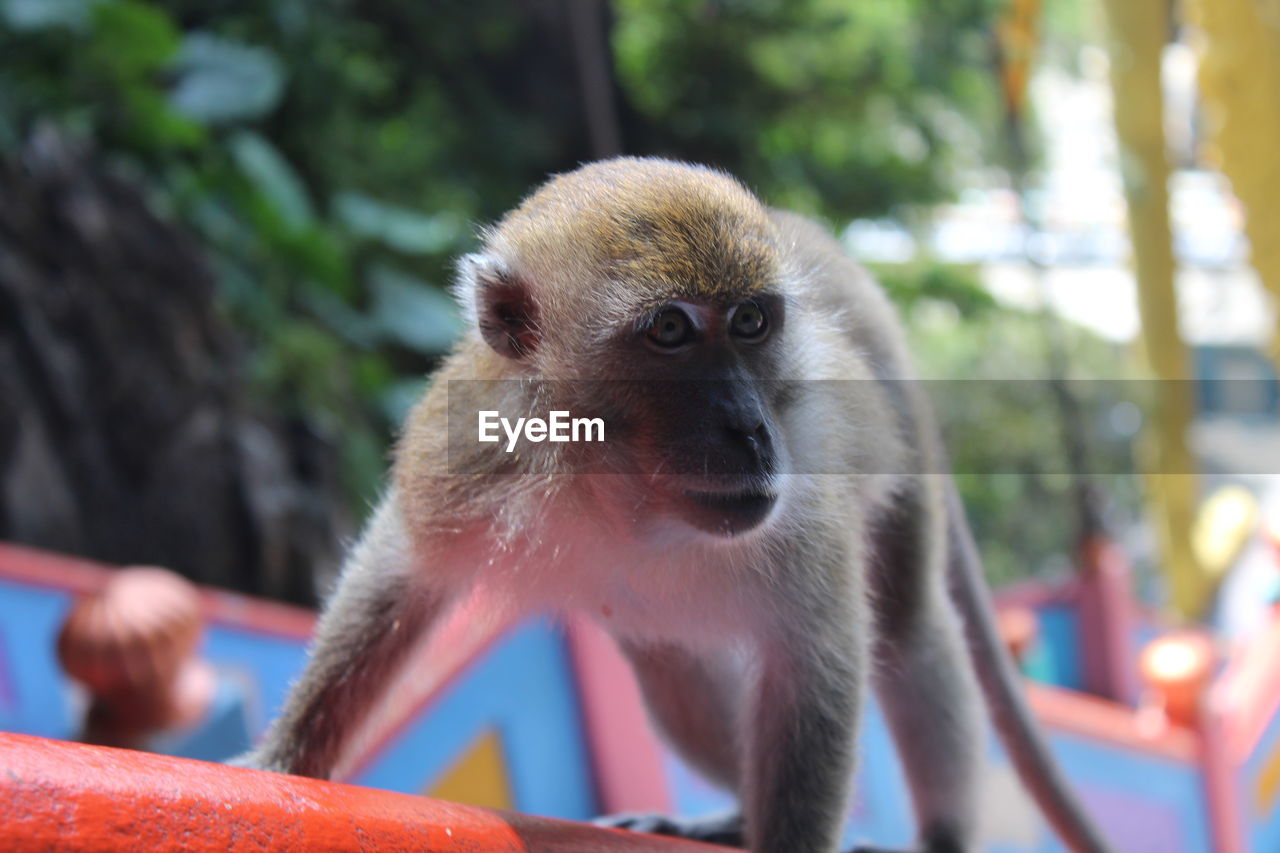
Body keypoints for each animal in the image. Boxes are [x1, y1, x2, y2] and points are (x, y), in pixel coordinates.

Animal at [244, 157, 1116, 850]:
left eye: (751, 320)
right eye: (669, 329)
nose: (751, 431)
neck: (613, 484)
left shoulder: (804, 508)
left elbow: (815, 666)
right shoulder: (469, 453)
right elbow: (399, 573)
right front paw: (283, 759)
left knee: (905, 624)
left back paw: (938, 836)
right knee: (672, 665)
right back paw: (731, 815)